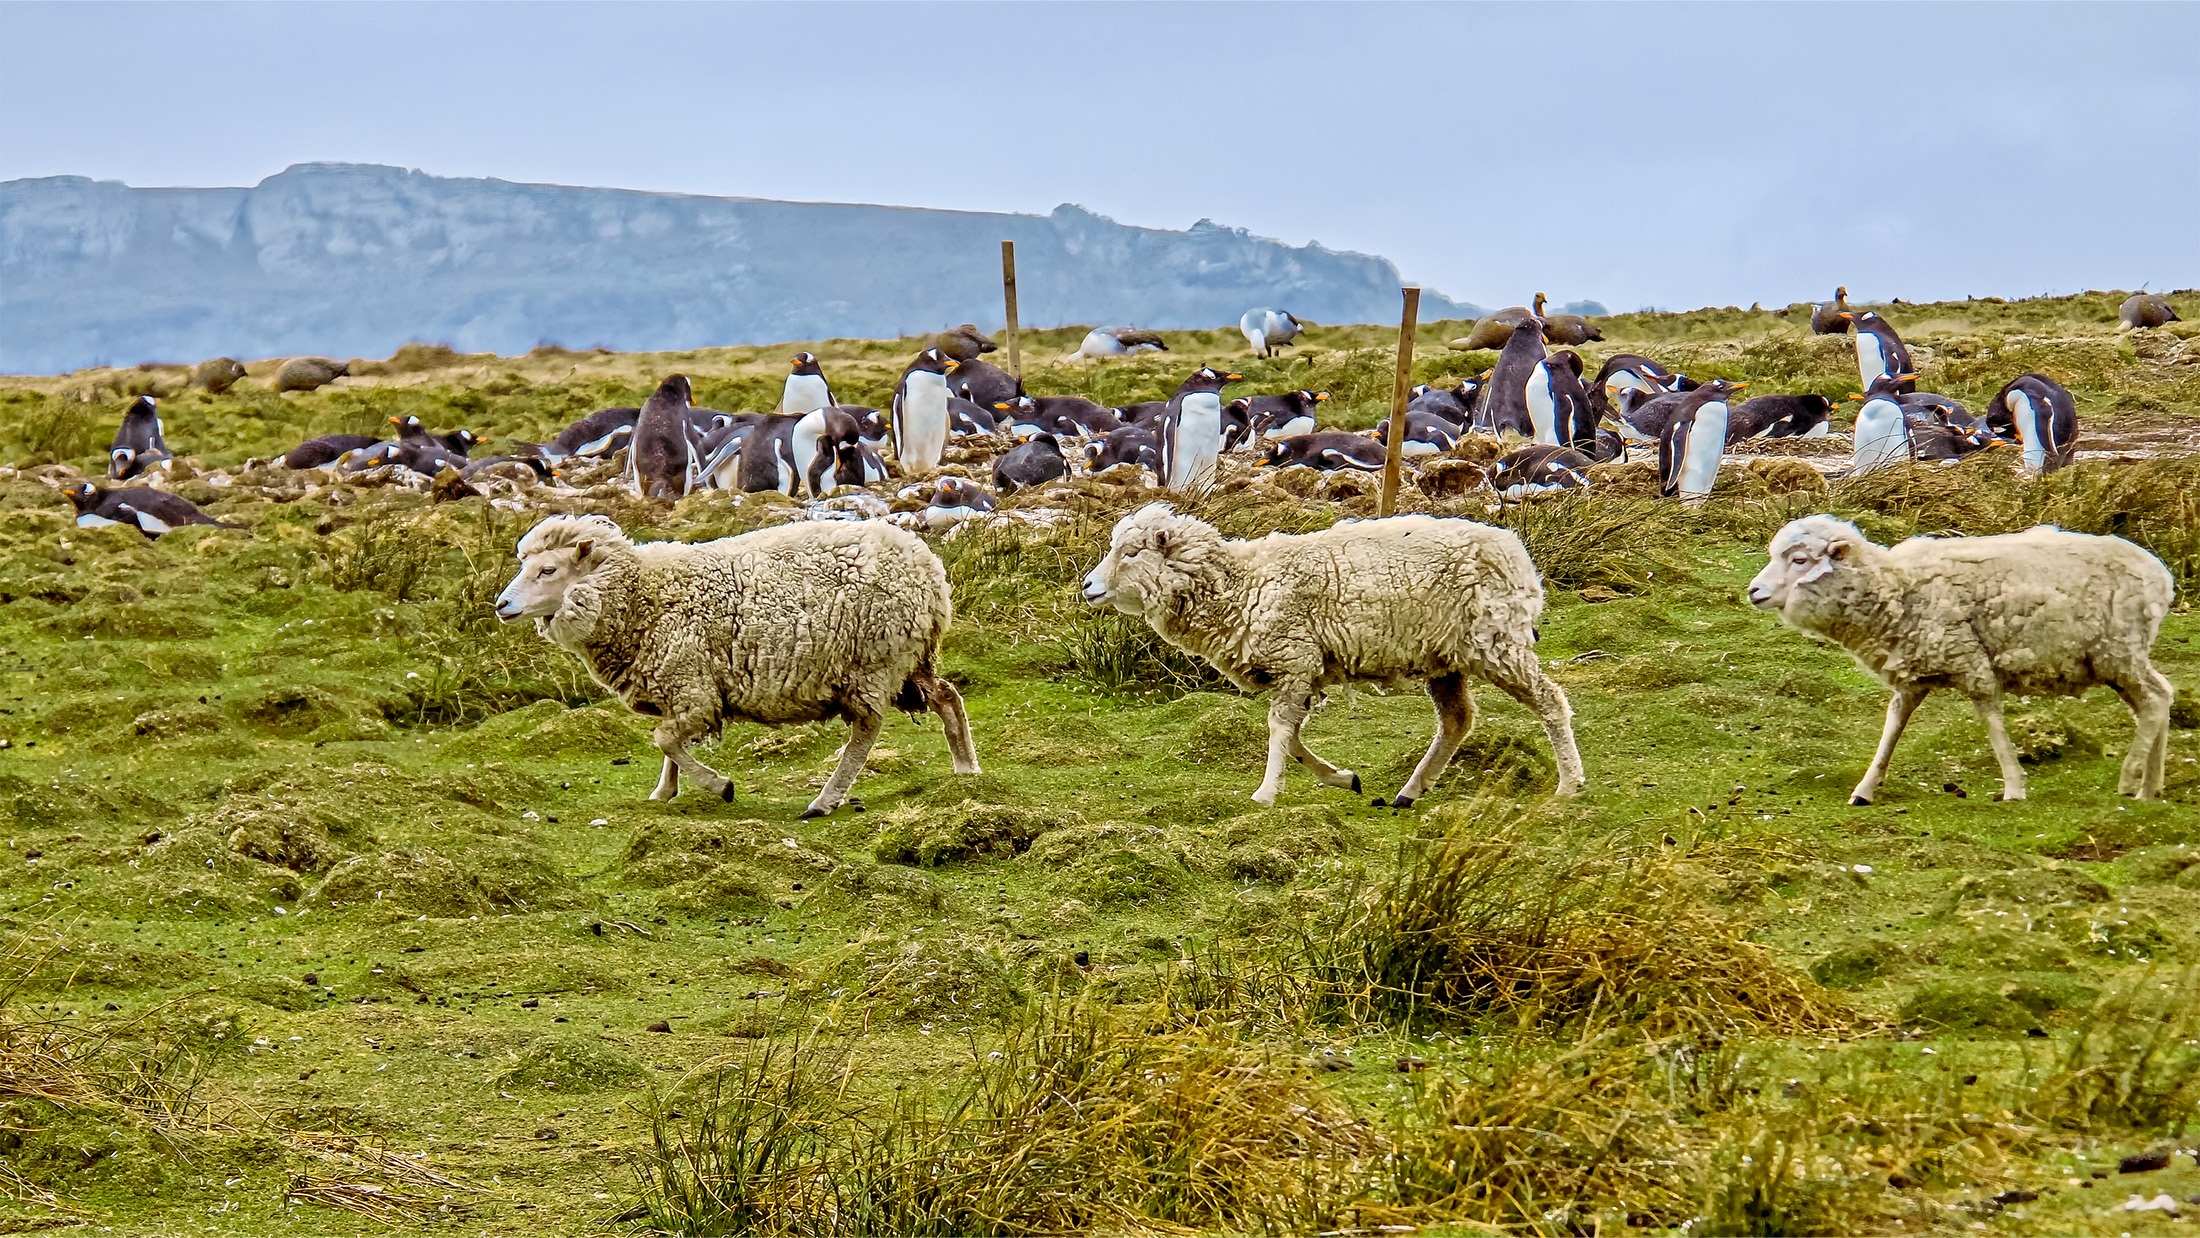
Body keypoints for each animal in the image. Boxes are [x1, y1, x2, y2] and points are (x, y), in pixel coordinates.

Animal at [494, 514, 980, 817]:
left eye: (548, 570)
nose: (501, 605)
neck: (639, 596)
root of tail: (928, 566)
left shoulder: (694, 688)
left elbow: (664, 739)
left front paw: (718, 785)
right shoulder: (680, 689)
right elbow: (668, 743)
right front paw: (663, 792)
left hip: (871, 662)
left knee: (865, 732)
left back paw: (825, 800)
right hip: (908, 660)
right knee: (947, 697)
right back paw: (966, 769)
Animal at [1081, 504, 1584, 807]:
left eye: (1130, 552)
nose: (1087, 586)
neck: (1241, 584)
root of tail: (1517, 553)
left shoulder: (1295, 659)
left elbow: (1279, 731)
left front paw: (1266, 793)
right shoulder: (1304, 671)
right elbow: (1294, 738)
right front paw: (1342, 778)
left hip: (1496, 640)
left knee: (1550, 700)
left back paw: (1568, 785)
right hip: (1446, 657)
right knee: (1457, 720)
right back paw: (1411, 790)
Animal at [1747, 515, 2175, 805]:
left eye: (1799, 560)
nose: (1753, 591)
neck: (1894, 587)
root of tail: (2160, 575)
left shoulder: (1970, 661)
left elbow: (1993, 725)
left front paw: (2014, 787)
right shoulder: (1913, 674)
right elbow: (1892, 728)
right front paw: (1865, 789)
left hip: (2117, 651)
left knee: (2154, 703)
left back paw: (2131, 779)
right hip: (2121, 655)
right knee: (2161, 697)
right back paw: (2151, 788)